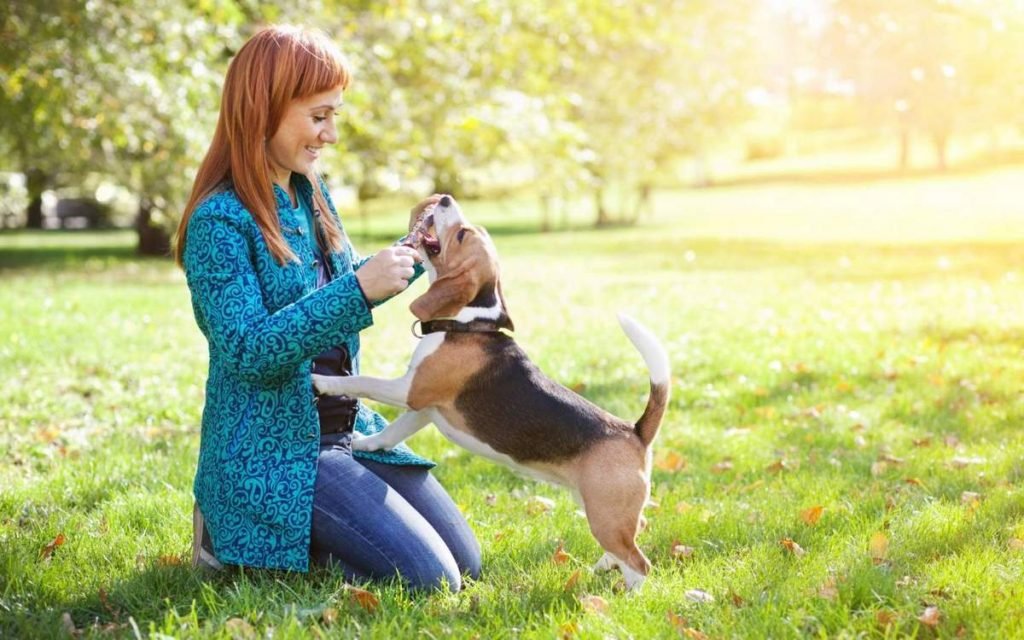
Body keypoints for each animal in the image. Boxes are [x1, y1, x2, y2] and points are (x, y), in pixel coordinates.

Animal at [315, 194, 675, 589]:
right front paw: (364, 444)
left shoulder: (410, 390)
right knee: (636, 531)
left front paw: (323, 382)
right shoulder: (424, 408)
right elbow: (391, 432)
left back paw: (625, 594)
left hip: (605, 514)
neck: (467, 322)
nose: (444, 198)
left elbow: (363, 382)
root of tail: (635, 432)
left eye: (461, 235)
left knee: (639, 563)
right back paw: (600, 568)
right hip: (600, 507)